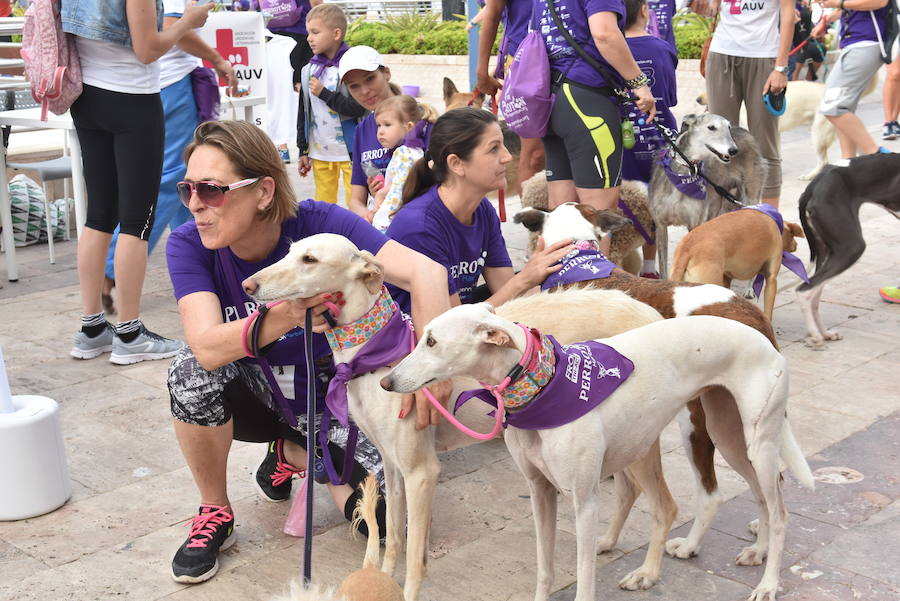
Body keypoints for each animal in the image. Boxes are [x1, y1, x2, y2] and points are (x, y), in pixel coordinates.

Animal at [244, 232, 668, 596]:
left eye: (309, 259)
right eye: (289, 251)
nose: (249, 286)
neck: (374, 359)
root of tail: (652, 312)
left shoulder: (421, 472)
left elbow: (415, 561)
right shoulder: (391, 466)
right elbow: (393, 539)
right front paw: (380, 580)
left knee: (662, 501)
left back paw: (647, 572)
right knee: (630, 490)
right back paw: (607, 543)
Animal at [384, 304, 820, 600]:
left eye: (432, 341)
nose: (387, 382)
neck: (543, 384)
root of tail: (762, 335)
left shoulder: (585, 500)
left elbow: (585, 576)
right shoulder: (540, 491)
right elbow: (545, 567)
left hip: (750, 441)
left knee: (778, 511)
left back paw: (766, 584)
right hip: (727, 436)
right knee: (763, 495)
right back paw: (748, 552)